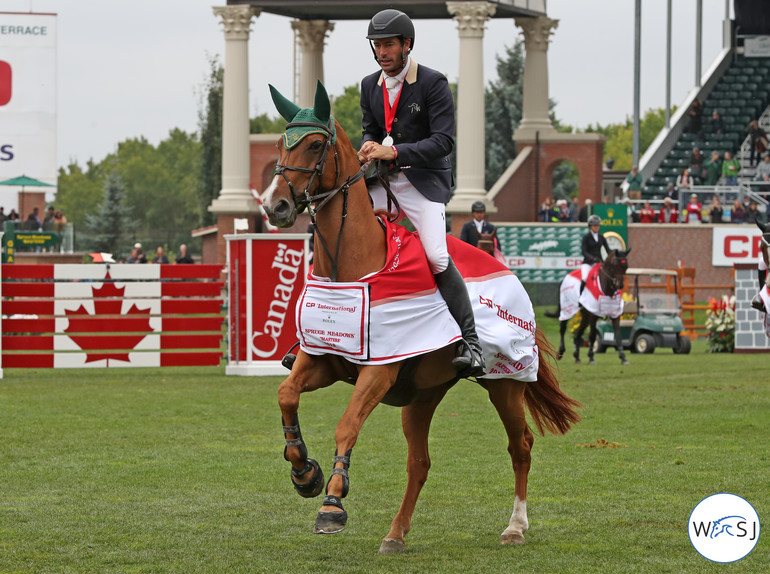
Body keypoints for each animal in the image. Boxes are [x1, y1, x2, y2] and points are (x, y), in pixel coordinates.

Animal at [258, 81, 576, 552]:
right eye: (281, 143)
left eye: (315, 145)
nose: (274, 207)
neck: (351, 265)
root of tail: (508, 274)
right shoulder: (322, 359)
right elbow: (286, 395)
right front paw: (304, 472)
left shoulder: (379, 371)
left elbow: (347, 424)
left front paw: (332, 503)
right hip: (423, 395)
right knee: (419, 463)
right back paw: (396, 533)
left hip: (504, 384)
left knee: (520, 445)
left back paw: (515, 526)